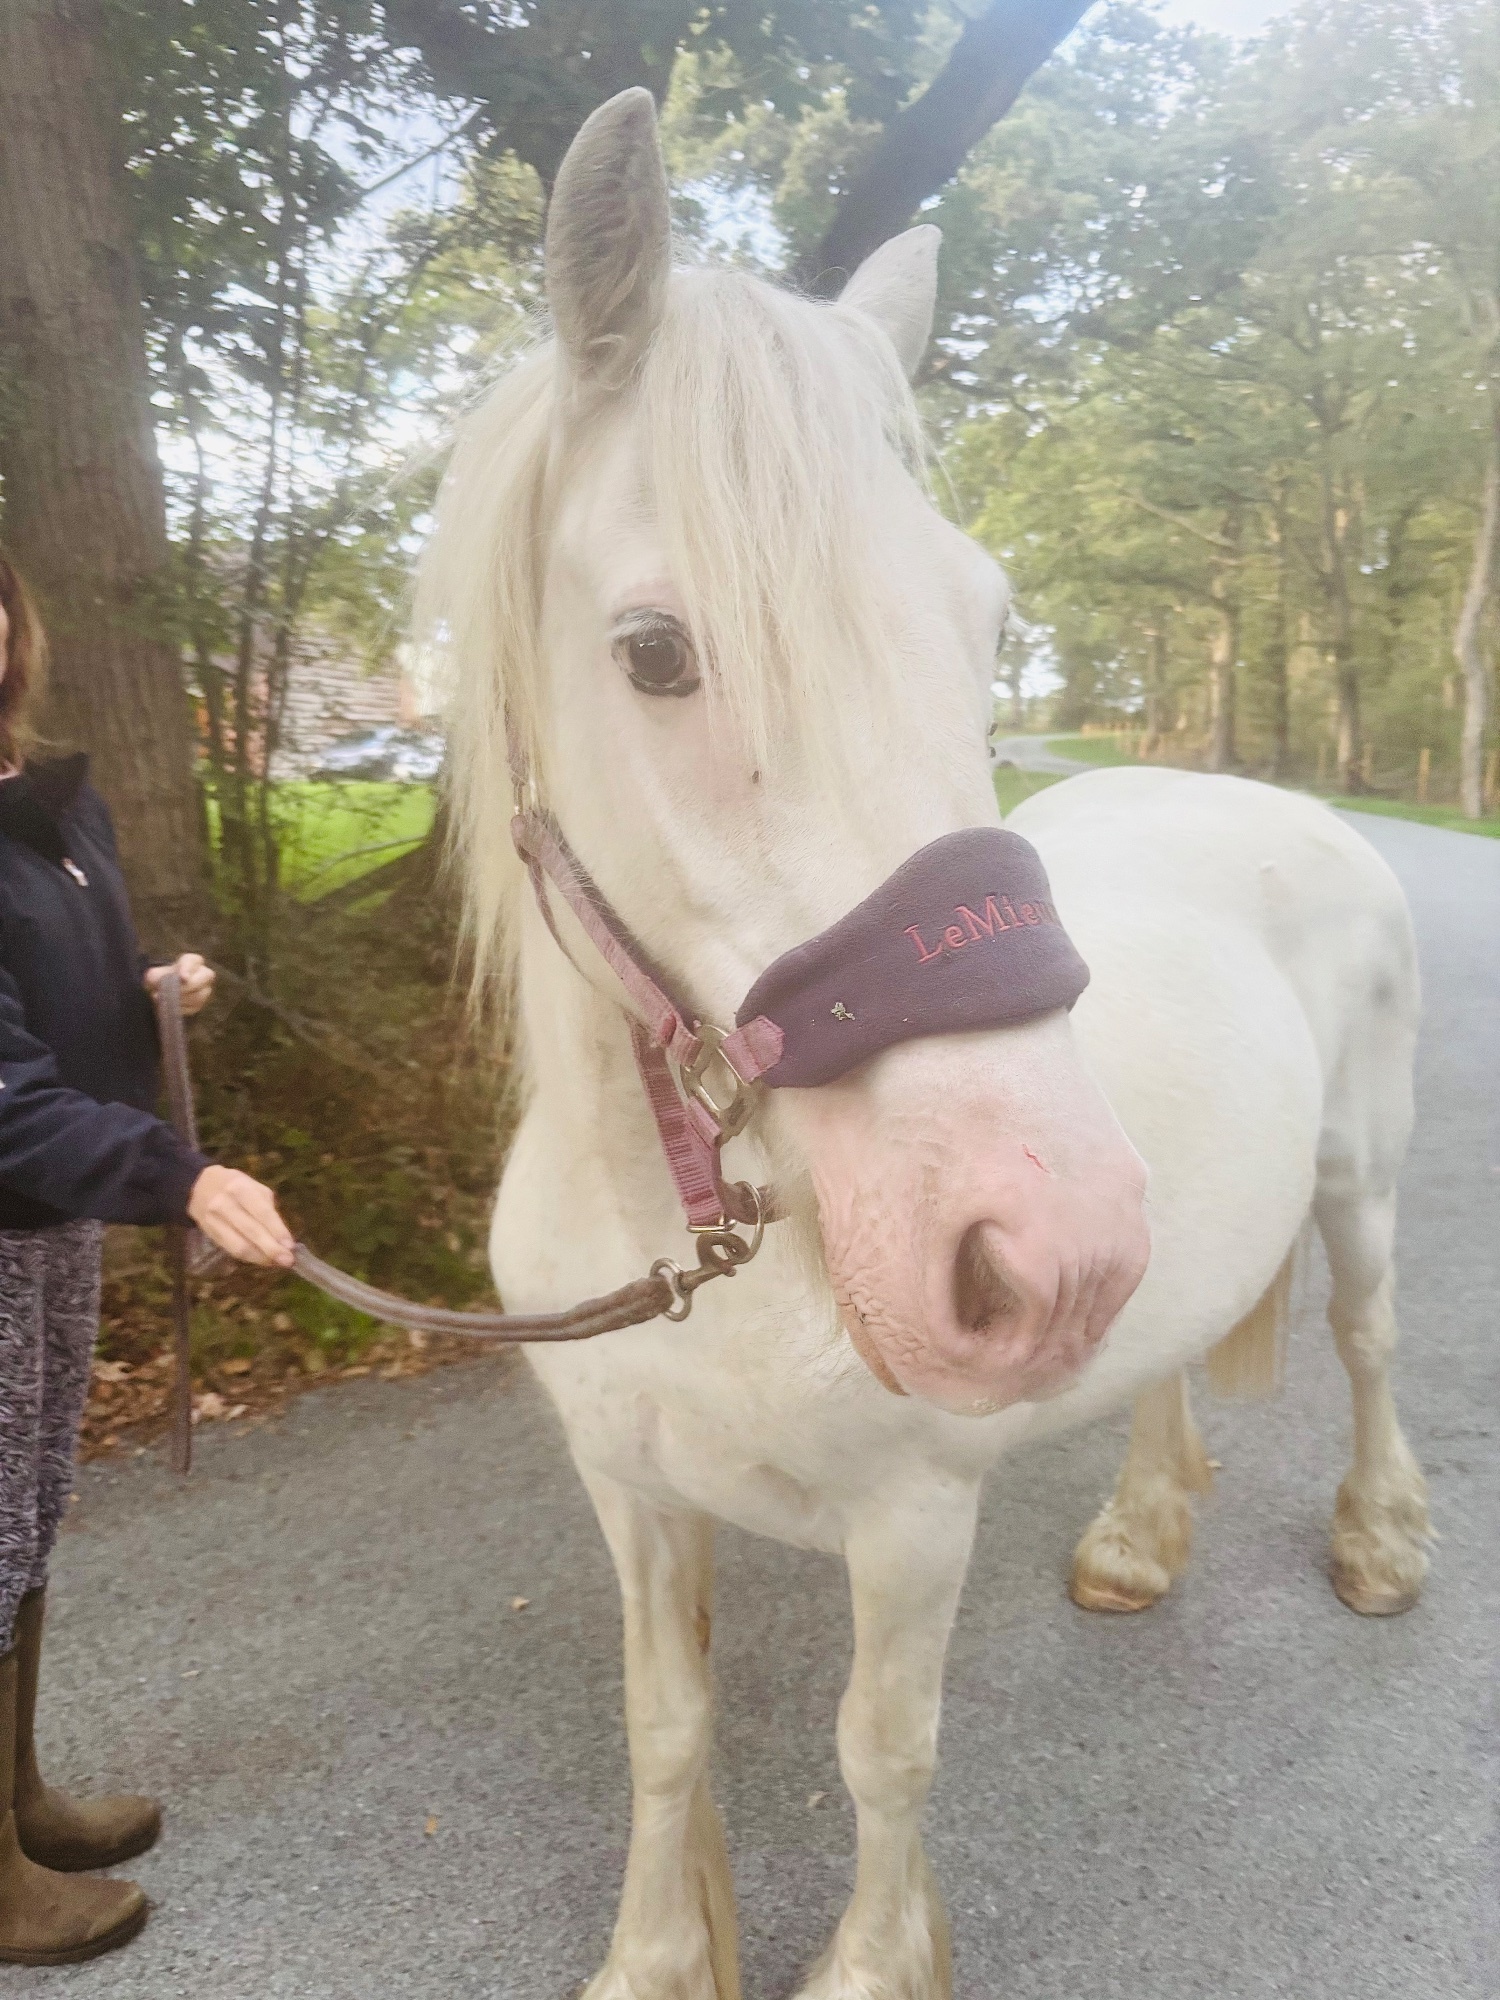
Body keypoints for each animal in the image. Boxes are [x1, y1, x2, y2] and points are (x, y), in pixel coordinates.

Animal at [418, 88, 1431, 2000]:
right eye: (654, 651)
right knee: (1167, 1357)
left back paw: (1383, 1537)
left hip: (1355, 1180)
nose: (1036, 1248)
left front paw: (878, 1964)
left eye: (985, 625)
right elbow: (665, 1729)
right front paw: (658, 1954)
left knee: (1363, 1334)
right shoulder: (628, 1491)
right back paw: (1140, 1534)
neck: (699, 1235)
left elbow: (882, 1755)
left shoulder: (910, 1521)